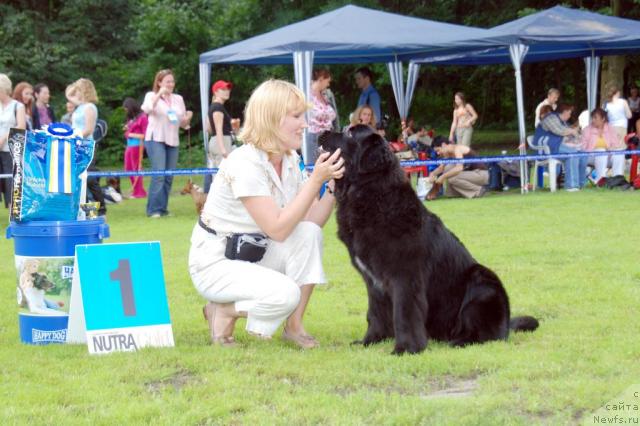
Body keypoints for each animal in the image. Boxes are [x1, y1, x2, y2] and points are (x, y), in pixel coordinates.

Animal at [318, 125, 536, 352]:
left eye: (350, 133)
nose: (321, 132)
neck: (369, 195)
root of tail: (507, 323)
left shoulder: (405, 276)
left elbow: (404, 313)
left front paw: (406, 348)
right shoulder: (372, 281)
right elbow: (375, 313)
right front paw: (370, 341)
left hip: (484, 282)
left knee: (489, 334)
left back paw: (460, 341)